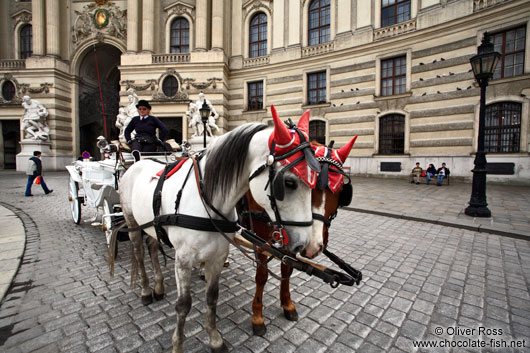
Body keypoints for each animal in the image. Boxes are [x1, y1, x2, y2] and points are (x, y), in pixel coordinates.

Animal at [118, 105, 318, 352]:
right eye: (289, 183)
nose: (303, 244)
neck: (207, 200)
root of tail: (137, 161)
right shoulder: (183, 260)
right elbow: (183, 304)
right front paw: (178, 344)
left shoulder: (217, 256)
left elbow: (212, 297)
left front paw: (214, 338)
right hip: (133, 223)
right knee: (138, 252)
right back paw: (146, 290)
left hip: (153, 225)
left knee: (153, 247)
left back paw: (157, 286)